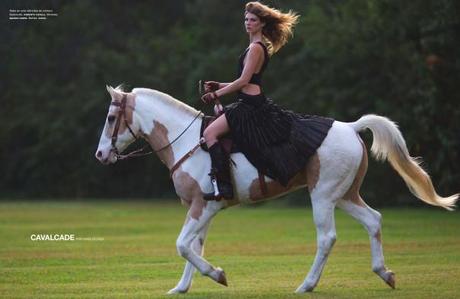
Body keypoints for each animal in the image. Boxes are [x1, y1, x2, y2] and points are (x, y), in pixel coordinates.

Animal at [95, 85, 458, 294]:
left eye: (112, 117)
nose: (100, 155)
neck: (187, 142)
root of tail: (351, 127)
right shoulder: (204, 207)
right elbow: (194, 245)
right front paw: (181, 287)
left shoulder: (203, 206)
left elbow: (183, 245)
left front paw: (218, 274)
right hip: (344, 195)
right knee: (374, 220)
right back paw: (385, 274)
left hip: (323, 196)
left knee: (327, 237)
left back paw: (306, 285)